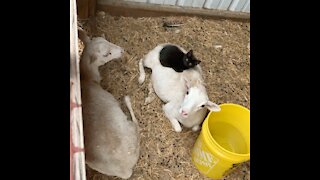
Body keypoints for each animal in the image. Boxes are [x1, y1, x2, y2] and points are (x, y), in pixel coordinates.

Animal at [78, 29, 139, 179]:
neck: (87, 79)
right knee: (136, 124)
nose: (122, 50)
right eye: (107, 54)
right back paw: (127, 100)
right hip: (130, 129)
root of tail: (125, 170)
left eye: (105, 39)